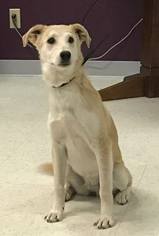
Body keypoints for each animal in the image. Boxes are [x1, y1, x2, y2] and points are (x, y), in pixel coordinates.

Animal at [22, 23, 132, 229]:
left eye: (71, 39)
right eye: (51, 40)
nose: (65, 54)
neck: (64, 89)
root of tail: (89, 188)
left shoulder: (101, 145)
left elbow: (105, 190)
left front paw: (106, 217)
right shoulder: (57, 146)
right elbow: (56, 185)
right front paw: (56, 210)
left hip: (117, 170)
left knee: (126, 183)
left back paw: (123, 195)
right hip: (66, 167)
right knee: (67, 184)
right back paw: (67, 192)